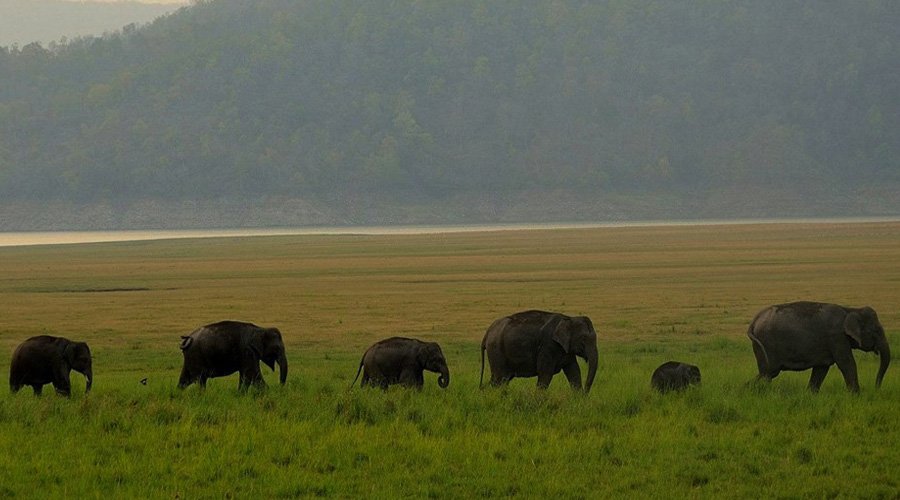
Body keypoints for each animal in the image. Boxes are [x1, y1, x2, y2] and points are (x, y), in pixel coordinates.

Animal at [748, 300, 888, 390]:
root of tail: (754, 322)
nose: (876, 388)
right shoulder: (837, 337)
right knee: (768, 373)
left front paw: (810, 394)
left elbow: (821, 369)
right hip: (766, 344)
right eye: (876, 330)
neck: (850, 310)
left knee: (766, 373)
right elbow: (847, 363)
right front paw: (856, 396)